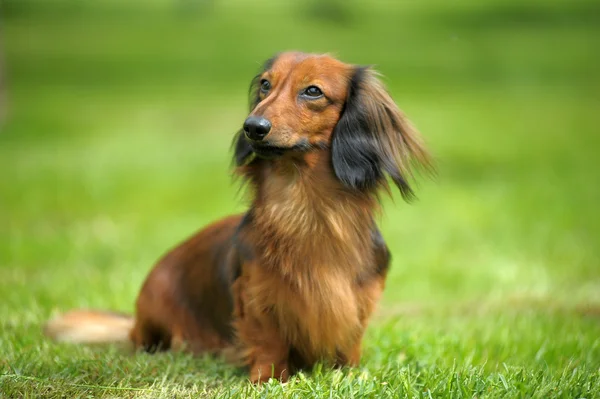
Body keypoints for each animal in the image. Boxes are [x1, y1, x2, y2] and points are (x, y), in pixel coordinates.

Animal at [47, 51, 432, 382]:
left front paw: (347, 374)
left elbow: (349, 342)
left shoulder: (358, 302)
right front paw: (268, 379)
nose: (253, 126)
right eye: (265, 84)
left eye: (313, 91)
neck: (305, 210)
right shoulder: (256, 296)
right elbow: (268, 340)